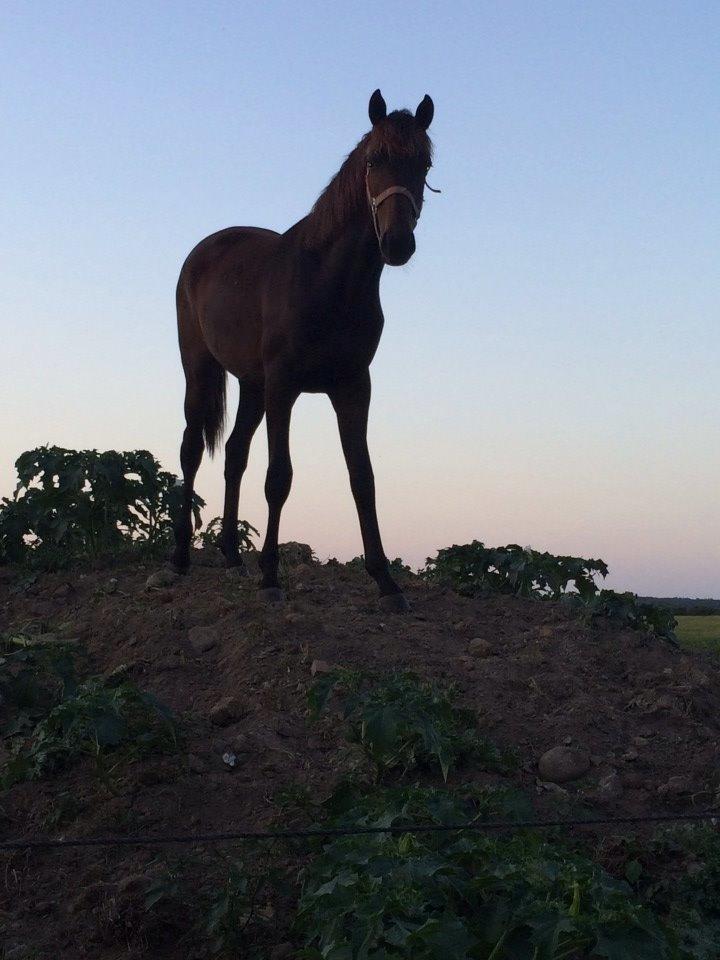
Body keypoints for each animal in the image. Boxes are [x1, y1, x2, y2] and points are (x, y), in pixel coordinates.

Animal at [172, 92, 436, 616]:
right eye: (374, 160)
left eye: (425, 163)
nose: (397, 243)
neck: (328, 281)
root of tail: (201, 252)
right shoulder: (285, 386)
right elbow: (279, 477)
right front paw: (271, 577)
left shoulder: (353, 387)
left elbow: (363, 478)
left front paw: (386, 581)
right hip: (201, 370)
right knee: (191, 449)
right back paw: (178, 559)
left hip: (251, 386)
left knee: (235, 455)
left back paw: (231, 555)